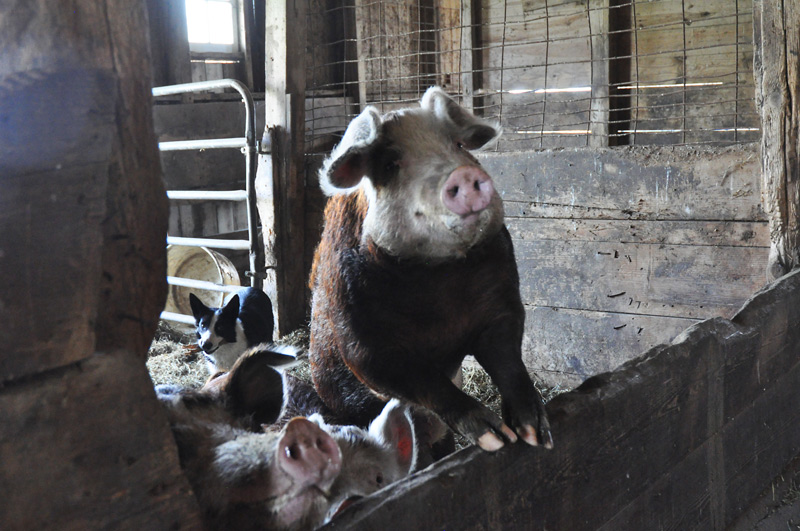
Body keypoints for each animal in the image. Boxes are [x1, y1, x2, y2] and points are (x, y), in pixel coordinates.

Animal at [309, 86, 553, 452]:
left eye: (459, 146)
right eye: (390, 164)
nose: (463, 174)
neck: (437, 276)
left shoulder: (502, 299)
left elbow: (508, 358)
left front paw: (534, 435)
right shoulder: (360, 338)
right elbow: (422, 381)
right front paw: (494, 440)